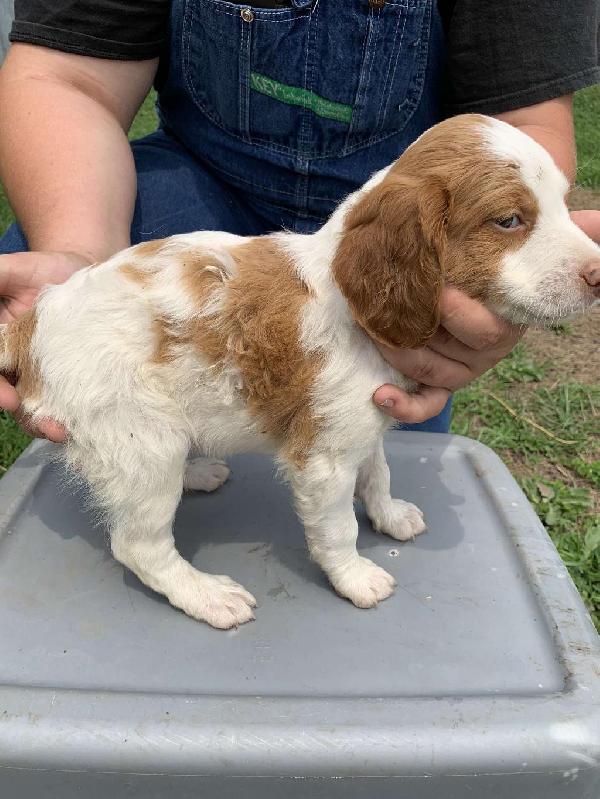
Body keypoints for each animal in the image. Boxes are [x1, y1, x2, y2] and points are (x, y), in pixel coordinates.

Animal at [1, 112, 600, 628]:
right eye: (510, 220)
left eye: (563, 203)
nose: (597, 274)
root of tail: (34, 322)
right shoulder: (323, 460)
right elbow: (337, 529)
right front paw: (355, 579)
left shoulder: (364, 422)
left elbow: (379, 471)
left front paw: (389, 514)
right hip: (139, 440)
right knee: (138, 545)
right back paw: (207, 594)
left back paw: (199, 471)